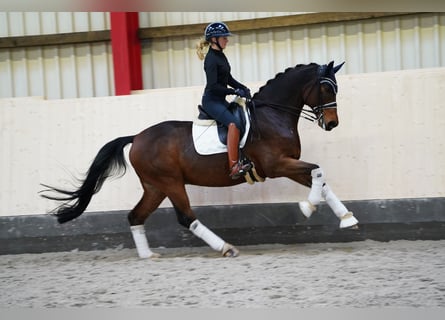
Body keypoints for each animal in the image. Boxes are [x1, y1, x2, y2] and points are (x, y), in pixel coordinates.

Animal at [40, 61, 358, 258]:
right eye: (326, 88)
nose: (332, 124)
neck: (273, 114)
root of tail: (137, 137)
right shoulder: (276, 165)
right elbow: (318, 172)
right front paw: (307, 208)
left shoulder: (288, 164)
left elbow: (321, 179)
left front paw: (347, 218)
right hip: (170, 183)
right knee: (186, 217)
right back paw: (226, 248)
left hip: (155, 187)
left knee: (136, 216)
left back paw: (147, 255)